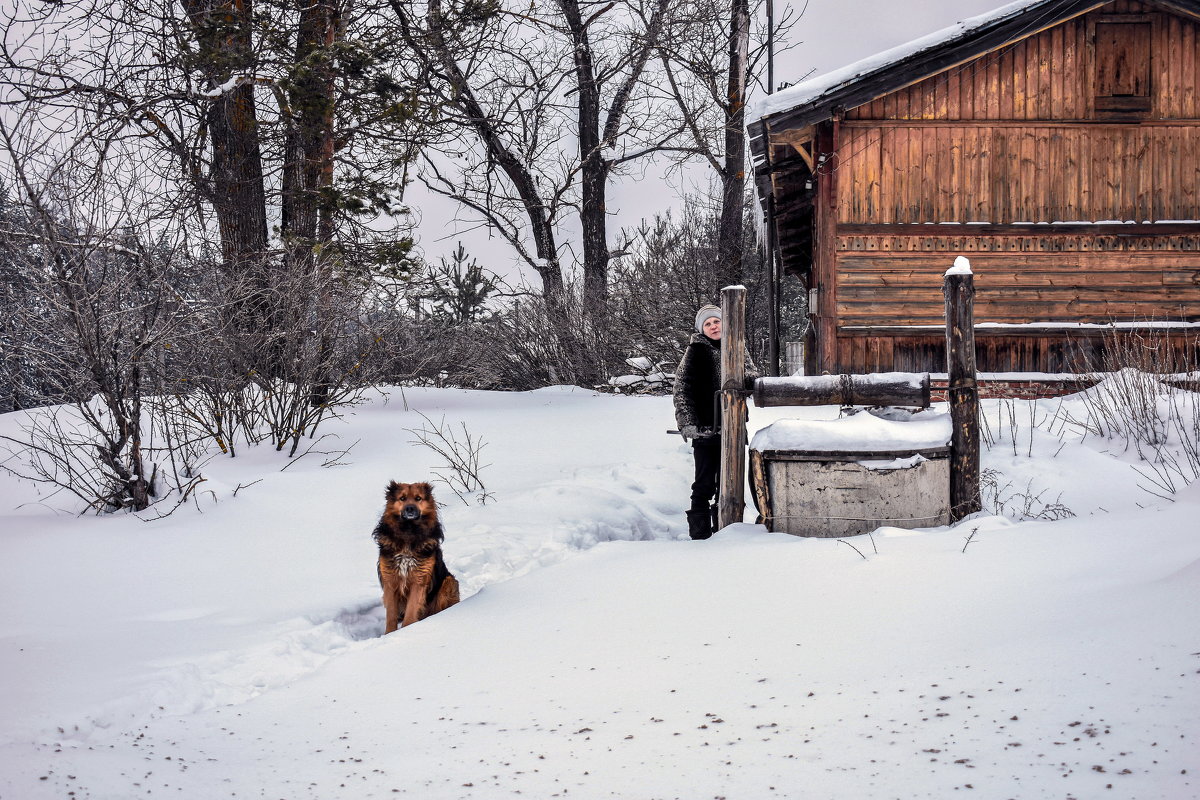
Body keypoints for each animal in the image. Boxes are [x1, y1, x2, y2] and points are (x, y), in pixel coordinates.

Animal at [369, 479, 458, 633]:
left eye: (418, 498)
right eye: (402, 498)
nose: (410, 509)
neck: (409, 531)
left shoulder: (419, 579)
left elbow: (411, 612)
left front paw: (407, 630)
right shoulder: (390, 580)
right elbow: (391, 614)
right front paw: (390, 634)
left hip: (449, 581)